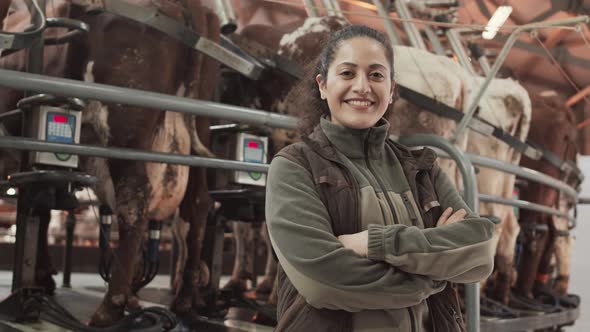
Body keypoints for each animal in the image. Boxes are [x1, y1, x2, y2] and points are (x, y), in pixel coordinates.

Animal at [0, 0, 220, 326]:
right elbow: (41, 208)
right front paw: (42, 277)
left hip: (124, 126)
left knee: (135, 199)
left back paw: (112, 305)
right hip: (197, 132)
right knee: (196, 204)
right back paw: (183, 300)